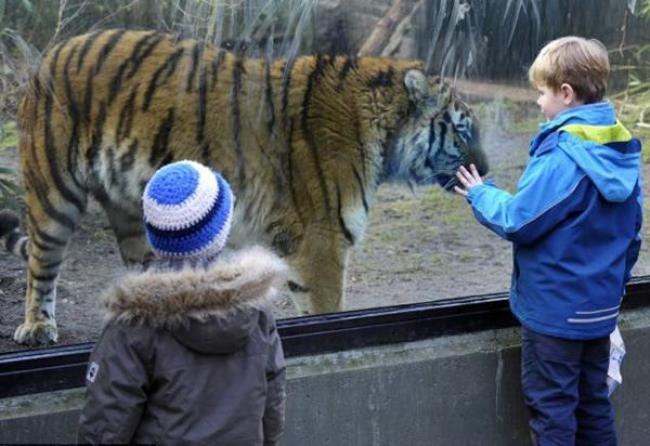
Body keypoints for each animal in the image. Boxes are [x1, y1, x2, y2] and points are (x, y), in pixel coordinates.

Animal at [0, 29, 484, 346]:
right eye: (462, 132)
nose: (486, 167)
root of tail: (54, 50)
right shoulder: (321, 242)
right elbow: (327, 310)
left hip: (133, 213)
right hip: (53, 192)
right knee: (42, 264)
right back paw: (37, 327)